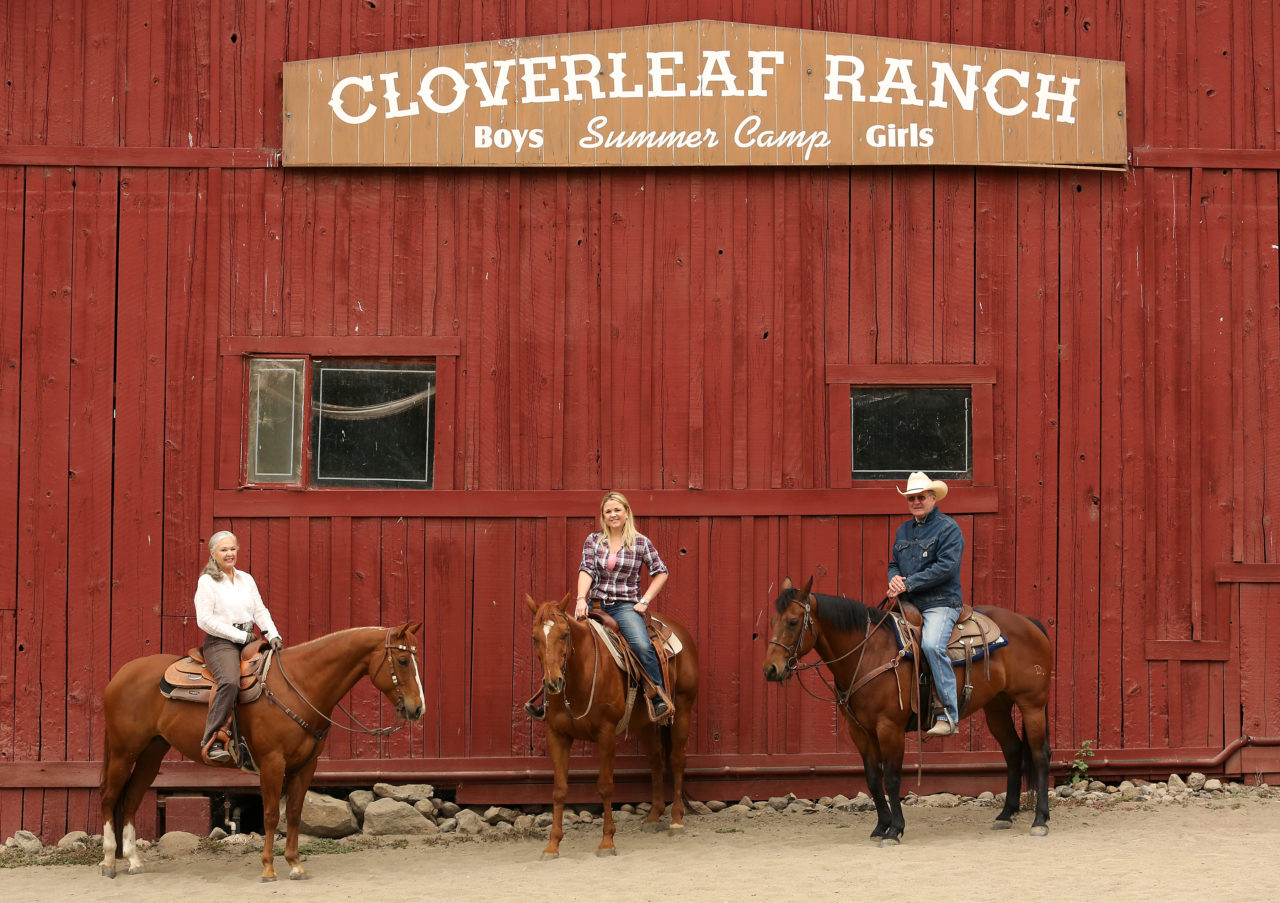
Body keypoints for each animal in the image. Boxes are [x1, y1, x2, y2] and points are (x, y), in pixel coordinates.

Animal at [97, 622, 424, 876]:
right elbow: (270, 815)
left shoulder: (306, 766)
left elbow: (294, 813)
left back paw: (134, 861)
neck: (298, 685)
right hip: (123, 752)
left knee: (131, 799)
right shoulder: (272, 763)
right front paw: (268, 867)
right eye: (403, 661)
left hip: (151, 753)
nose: (418, 708)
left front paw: (295, 864)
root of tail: (121, 674)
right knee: (110, 797)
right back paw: (108, 861)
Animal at [519, 594, 701, 855]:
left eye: (564, 634)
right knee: (656, 760)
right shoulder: (557, 735)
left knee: (676, 760)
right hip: (644, 723)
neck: (580, 677)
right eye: (535, 637)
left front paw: (607, 841)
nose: (553, 682)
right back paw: (654, 815)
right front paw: (552, 845)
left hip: (684, 708)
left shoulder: (606, 733)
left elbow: (605, 786)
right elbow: (559, 790)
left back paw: (676, 819)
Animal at [757, 581, 1049, 840]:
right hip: (997, 706)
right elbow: (873, 779)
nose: (770, 669)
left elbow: (893, 779)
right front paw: (881, 826)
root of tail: (1029, 623)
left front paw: (895, 830)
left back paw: (1040, 820)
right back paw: (1006, 815)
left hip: (1032, 704)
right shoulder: (859, 731)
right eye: (772, 621)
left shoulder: (890, 728)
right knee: (1013, 750)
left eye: (793, 621)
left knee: (1039, 755)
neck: (868, 652)